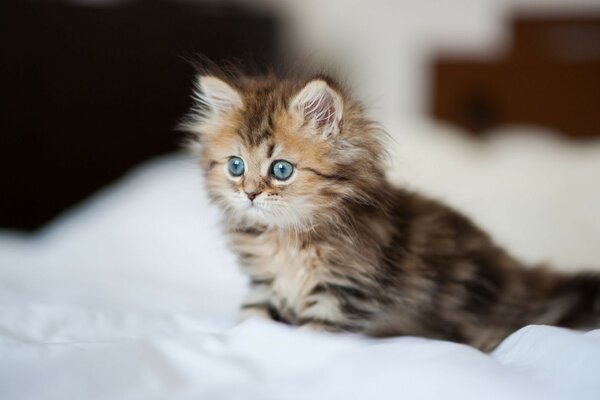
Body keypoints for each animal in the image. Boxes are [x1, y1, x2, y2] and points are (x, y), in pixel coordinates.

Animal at [183, 68, 600, 350]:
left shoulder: (344, 293)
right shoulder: (265, 286)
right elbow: (252, 319)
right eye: (236, 167)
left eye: (281, 170)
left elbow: (312, 335)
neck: (287, 238)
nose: (250, 194)